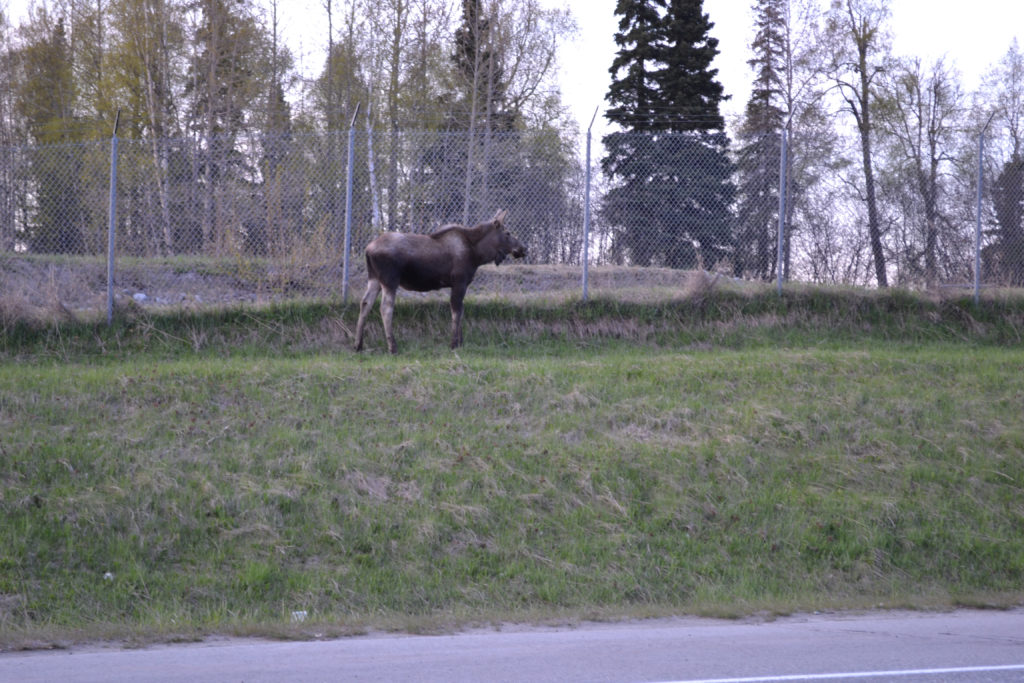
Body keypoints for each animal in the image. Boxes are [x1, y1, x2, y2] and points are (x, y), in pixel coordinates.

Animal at [354, 209, 528, 356]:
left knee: (365, 303)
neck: (477, 254)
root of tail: (367, 250)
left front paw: (460, 343)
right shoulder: (459, 281)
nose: (524, 248)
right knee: (385, 308)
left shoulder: (460, 284)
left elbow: (461, 311)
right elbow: (456, 311)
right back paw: (393, 347)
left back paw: (358, 345)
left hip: (374, 279)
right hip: (390, 280)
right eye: (507, 232)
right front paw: (454, 344)